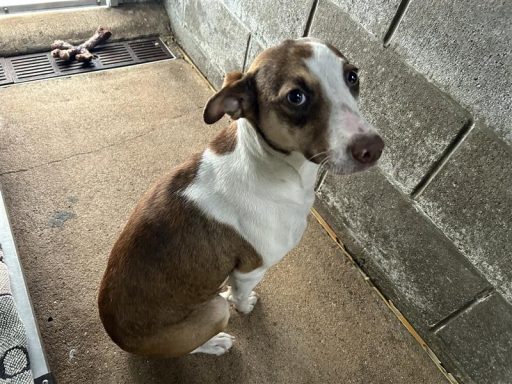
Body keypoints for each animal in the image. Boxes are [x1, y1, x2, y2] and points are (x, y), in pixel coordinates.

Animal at [98, 38, 382, 356]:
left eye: (352, 76)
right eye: (295, 97)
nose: (373, 148)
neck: (268, 165)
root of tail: (117, 337)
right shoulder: (249, 270)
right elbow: (242, 297)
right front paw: (244, 306)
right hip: (213, 313)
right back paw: (215, 342)